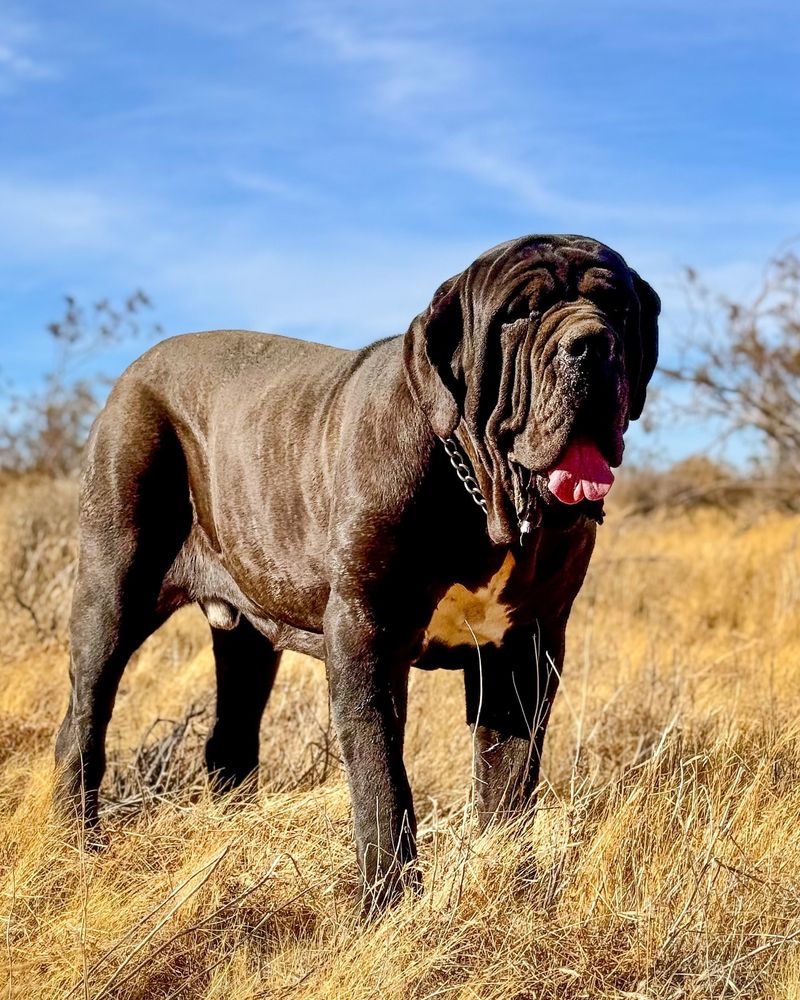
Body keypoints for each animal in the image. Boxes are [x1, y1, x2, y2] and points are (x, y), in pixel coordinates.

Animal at [53, 238, 660, 912]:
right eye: (518, 316)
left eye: (619, 310)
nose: (593, 343)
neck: (475, 493)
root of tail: (132, 373)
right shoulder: (366, 638)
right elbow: (382, 782)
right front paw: (389, 903)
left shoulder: (524, 651)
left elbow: (507, 782)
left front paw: (508, 887)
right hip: (113, 588)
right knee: (83, 719)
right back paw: (79, 846)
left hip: (247, 636)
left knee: (230, 736)